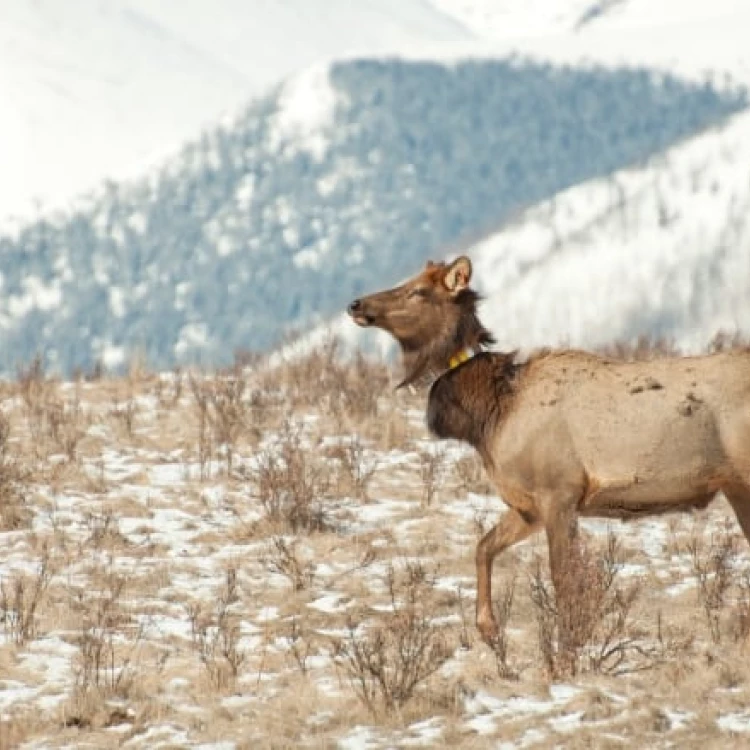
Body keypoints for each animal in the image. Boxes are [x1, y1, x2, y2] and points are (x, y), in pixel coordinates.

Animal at [350, 258, 750, 648]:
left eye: (418, 291)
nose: (356, 304)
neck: (491, 415)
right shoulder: (529, 505)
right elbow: (484, 546)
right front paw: (489, 629)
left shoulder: (559, 491)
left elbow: (565, 582)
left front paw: (567, 649)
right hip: (735, 487)